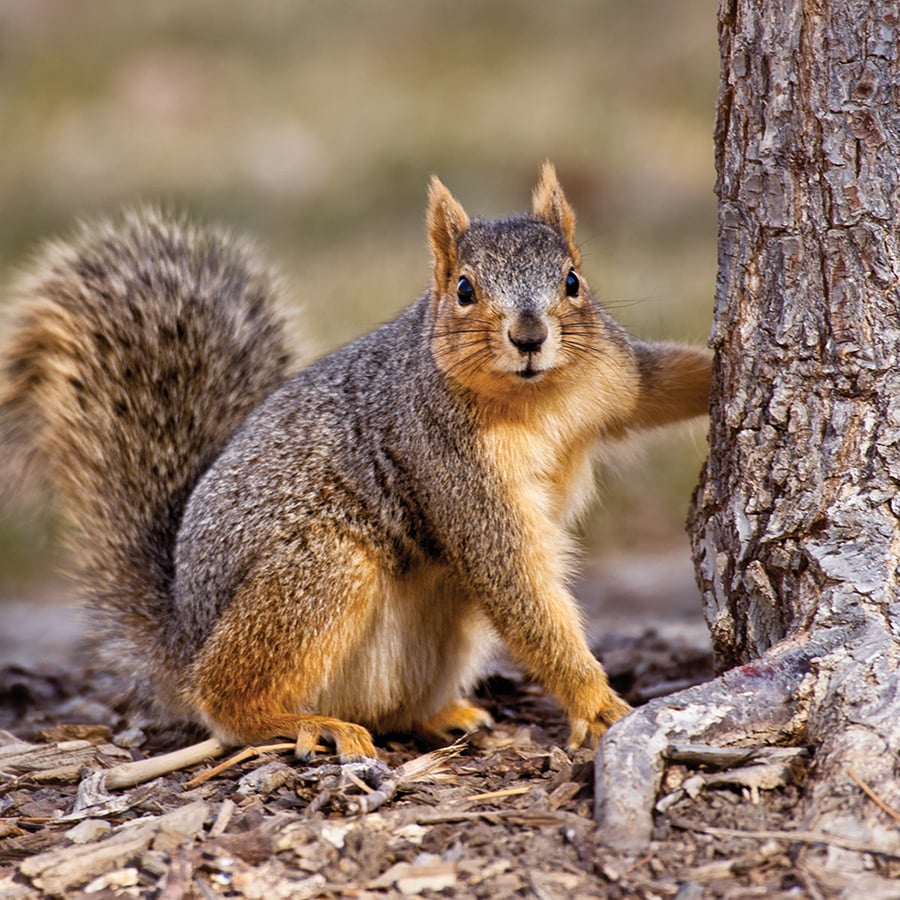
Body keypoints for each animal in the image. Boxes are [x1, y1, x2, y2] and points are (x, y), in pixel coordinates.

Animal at [0, 164, 711, 760]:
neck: (536, 399)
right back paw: (301, 723)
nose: (530, 337)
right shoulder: (451, 464)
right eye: (464, 289)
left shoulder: (614, 375)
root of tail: (183, 632)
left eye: (572, 281)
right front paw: (595, 701)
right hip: (322, 571)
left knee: (391, 707)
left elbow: (660, 384)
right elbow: (514, 582)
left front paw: (720, 369)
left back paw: (442, 715)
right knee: (222, 701)